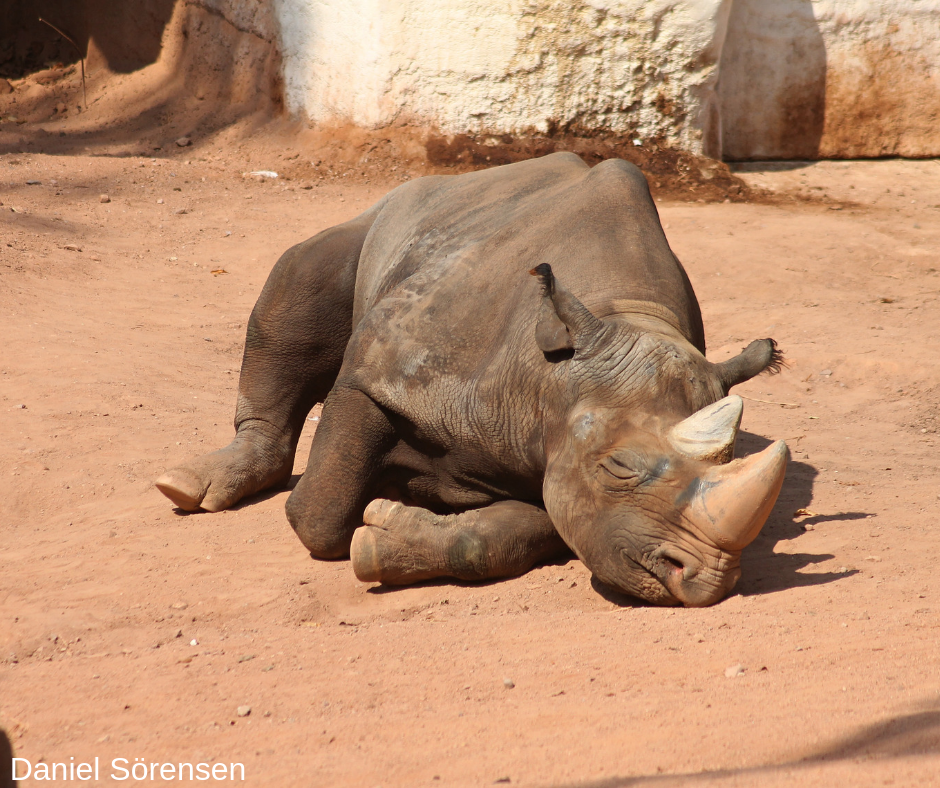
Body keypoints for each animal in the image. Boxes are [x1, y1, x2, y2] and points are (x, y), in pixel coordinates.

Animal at [156, 152, 787, 607]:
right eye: (617, 468)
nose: (706, 581)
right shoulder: (376, 378)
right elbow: (320, 516)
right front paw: (383, 498)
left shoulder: (550, 451)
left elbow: (512, 533)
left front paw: (394, 530)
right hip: (385, 220)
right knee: (302, 274)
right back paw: (191, 487)